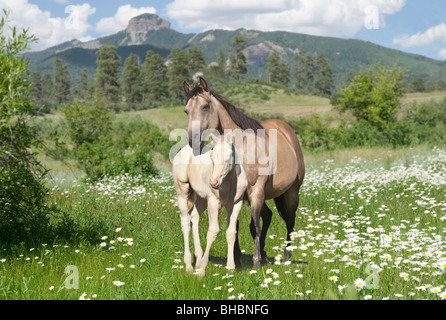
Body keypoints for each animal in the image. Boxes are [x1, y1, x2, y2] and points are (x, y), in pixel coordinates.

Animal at [172, 132, 247, 276]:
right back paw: (189, 265)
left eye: (228, 158)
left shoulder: (236, 204)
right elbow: (213, 231)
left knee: (194, 216)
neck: (229, 182)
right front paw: (202, 270)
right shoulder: (213, 202)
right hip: (182, 191)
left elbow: (231, 232)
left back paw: (198, 258)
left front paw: (230, 267)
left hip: (202, 197)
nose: (214, 183)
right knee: (185, 222)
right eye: (212, 158)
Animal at [183, 77, 304, 268]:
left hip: (290, 192)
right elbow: (235, 225)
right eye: (186, 110)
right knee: (268, 216)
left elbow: (254, 226)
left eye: (206, 106)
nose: (193, 141)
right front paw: (237, 259)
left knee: (290, 221)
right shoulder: (235, 195)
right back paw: (264, 253)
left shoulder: (255, 191)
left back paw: (285, 257)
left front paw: (255, 262)